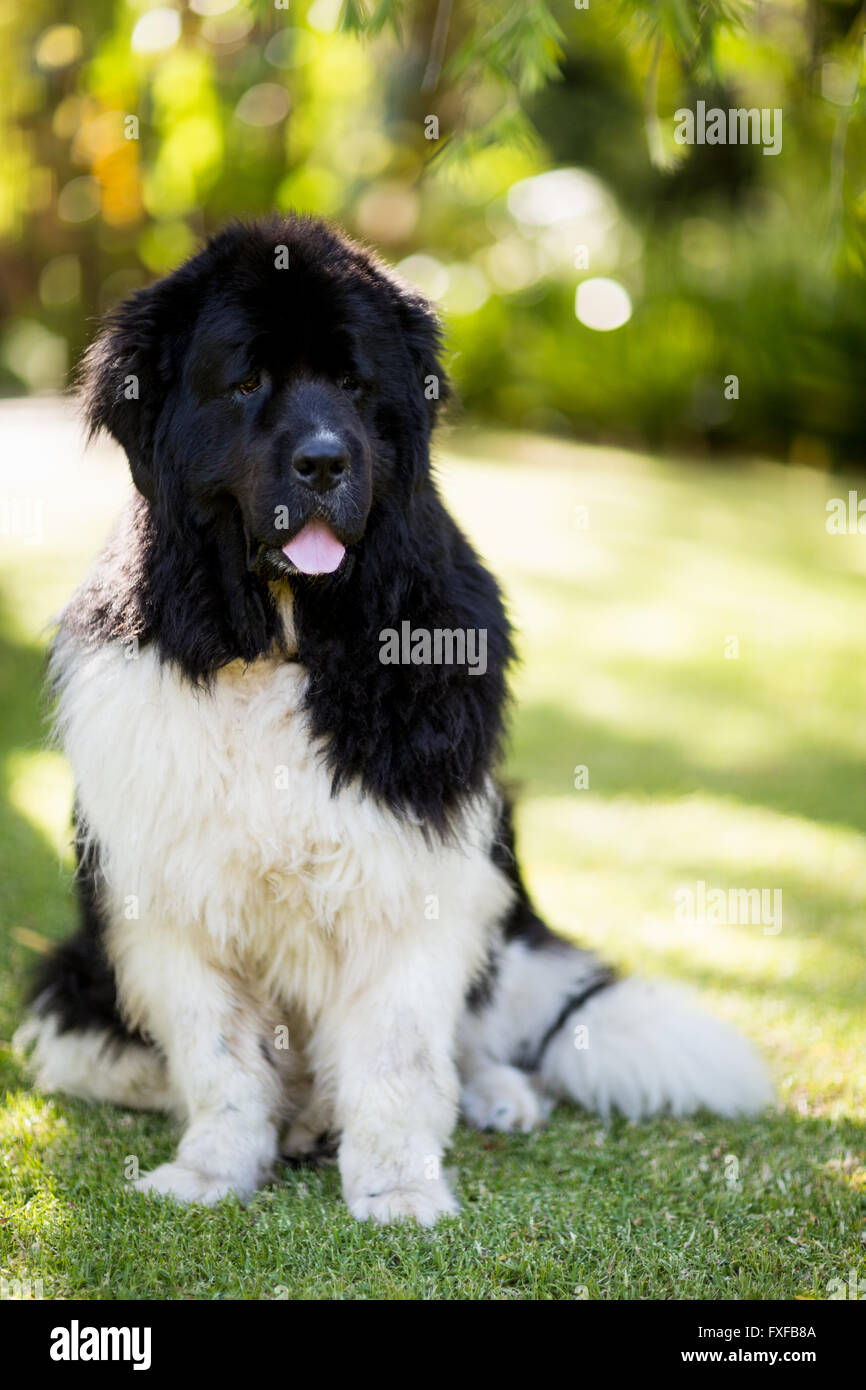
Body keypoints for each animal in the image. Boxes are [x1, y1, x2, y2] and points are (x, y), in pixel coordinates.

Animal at [15, 211, 772, 1223]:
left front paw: (398, 1190)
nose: (325, 461)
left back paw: (494, 1093)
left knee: (478, 1032)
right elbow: (220, 1057)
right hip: (74, 984)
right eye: (247, 382)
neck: (286, 641)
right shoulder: (167, 896)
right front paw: (214, 1171)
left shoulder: (416, 864)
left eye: (352, 384)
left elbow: (398, 1054)